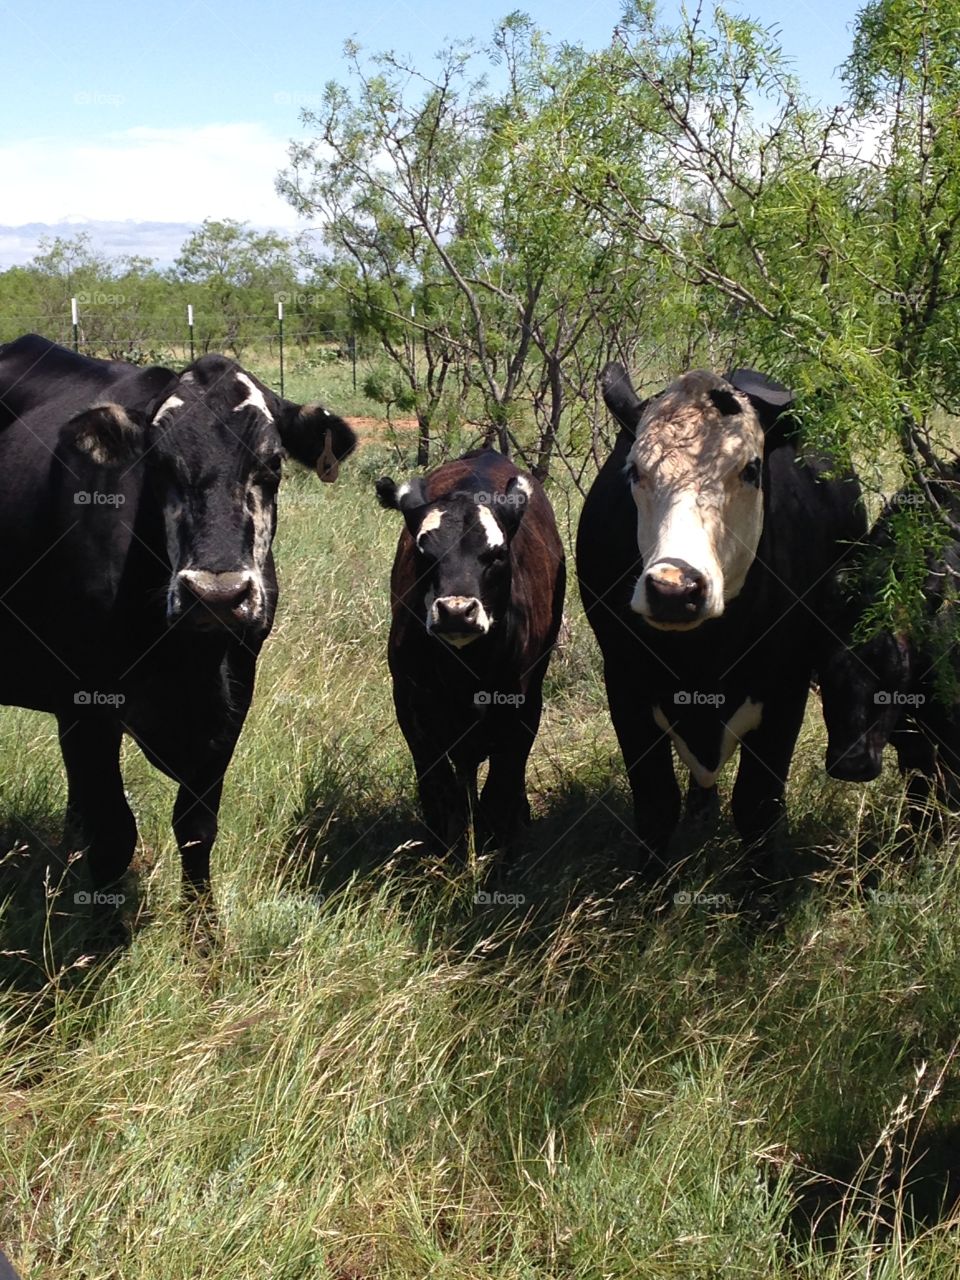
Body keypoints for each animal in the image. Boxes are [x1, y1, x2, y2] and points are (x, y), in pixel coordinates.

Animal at [0, 335, 358, 906]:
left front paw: (204, 924)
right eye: (158, 463)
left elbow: (196, 826)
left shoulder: (233, 697)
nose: (216, 595)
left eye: (273, 463)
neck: (186, 659)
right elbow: (113, 836)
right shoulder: (84, 704)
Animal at [376, 445, 568, 855]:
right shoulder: (412, 709)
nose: (456, 611)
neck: (464, 671)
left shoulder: (522, 708)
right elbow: (438, 791)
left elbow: (501, 787)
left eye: (497, 553)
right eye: (424, 552)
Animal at [576, 366, 870, 875]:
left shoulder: (786, 691)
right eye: (635, 471)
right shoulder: (625, 687)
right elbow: (655, 804)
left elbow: (757, 806)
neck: (701, 659)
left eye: (750, 470)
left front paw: (764, 887)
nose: (674, 590)